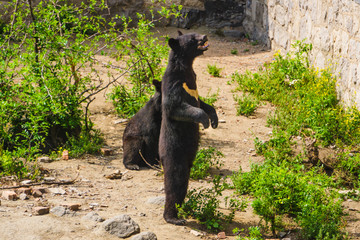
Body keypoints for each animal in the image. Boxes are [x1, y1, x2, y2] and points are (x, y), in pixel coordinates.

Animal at [159, 31, 218, 225]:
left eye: (196, 33)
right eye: (193, 38)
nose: (205, 36)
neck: (185, 69)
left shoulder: (194, 82)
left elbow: (203, 102)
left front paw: (214, 120)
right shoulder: (174, 84)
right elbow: (176, 107)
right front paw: (204, 120)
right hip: (174, 151)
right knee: (175, 181)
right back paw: (173, 217)